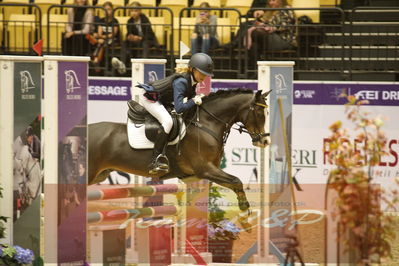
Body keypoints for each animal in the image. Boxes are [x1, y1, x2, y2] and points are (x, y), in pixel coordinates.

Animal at [89, 89, 272, 227]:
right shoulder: (205, 169)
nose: (265, 141)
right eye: (259, 112)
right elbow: (236, 181)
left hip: (100, 174)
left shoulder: (199, 174)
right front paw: (245, 216)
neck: (206, 124)